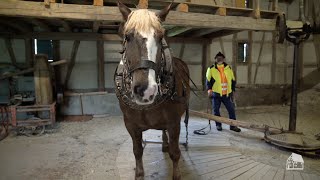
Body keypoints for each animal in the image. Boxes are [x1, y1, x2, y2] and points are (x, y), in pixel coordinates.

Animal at [114, 1, 190, 180]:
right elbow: (137, 151)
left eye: (161, 37)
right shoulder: (131, 124)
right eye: (128, 36)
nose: (145, 90)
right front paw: (139, 174)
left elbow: (175, 153)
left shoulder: (174, 122)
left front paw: (176, 174)